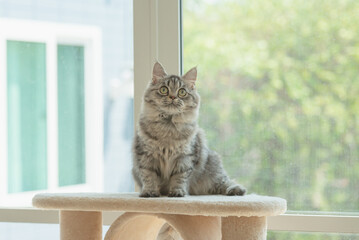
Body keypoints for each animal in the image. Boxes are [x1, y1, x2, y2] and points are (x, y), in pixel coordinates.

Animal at [132, 61, 248, 197]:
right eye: (164, 89)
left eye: (182, 92)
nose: (172, 97)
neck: (168, 127)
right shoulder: (145, 156)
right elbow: (149, 176)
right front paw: (150, 192)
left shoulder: (185, 158)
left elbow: (179, 178)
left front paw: (177, 192)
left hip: (212, 170)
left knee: (224, 182)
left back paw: (236, 190)